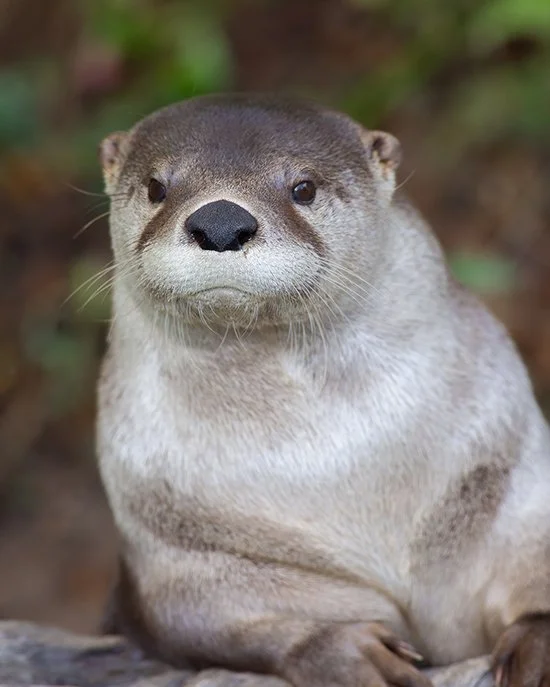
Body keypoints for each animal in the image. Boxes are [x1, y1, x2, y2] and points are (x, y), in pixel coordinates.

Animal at [97, 93, 550, 687]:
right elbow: (221, 629)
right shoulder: (181, 564)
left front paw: (537, 645)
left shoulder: (512, 480)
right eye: (156, 187)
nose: (220, 221)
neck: (334, 463)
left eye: (303, 188)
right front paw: (345, 652)